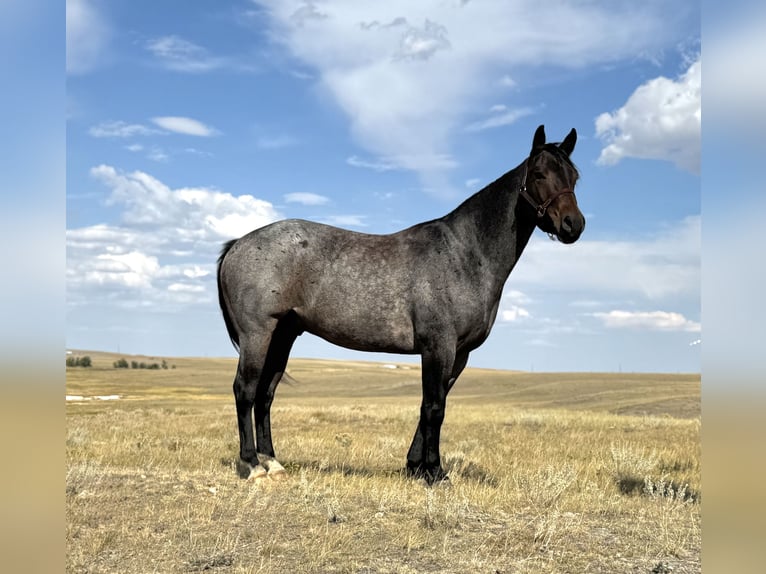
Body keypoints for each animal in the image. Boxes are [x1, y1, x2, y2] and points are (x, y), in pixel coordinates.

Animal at [216, 125, 585, 484]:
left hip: (283, 335)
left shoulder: (459, 354)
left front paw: (415, 466)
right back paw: (252, 465)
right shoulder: (439, 346)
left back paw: (272, 462)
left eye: (575, 176)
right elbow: (434, 408)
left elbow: (431, 405)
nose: (573, 225)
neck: (465, 253)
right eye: (538, 174)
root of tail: (238, 244)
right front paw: (435, 472)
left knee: (265, 394)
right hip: (258, 334)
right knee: (245, 390)